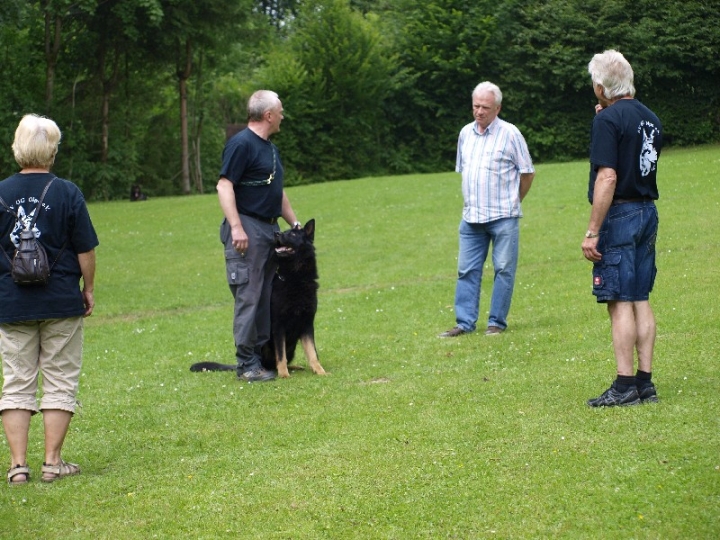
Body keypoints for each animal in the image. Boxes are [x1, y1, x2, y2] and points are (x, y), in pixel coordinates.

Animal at [191, 219, 326, 380]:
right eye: (285, 232)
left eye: (293, 234)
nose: (276, 234)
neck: (295, 278)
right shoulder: (278, 326)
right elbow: (281, 355)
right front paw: (284, 375)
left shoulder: (307, 324)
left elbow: (313, 353)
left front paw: (320, 371)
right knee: (270, 363)